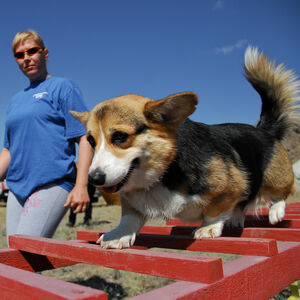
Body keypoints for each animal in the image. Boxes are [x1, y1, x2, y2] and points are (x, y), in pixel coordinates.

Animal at [70, 47, 298, 248]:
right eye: (91, 141)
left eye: (120, 136)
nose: (93, 179)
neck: (164, 170)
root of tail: (263, 129)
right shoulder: (130, 200)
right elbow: (129, 217)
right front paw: (118, 235)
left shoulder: (233, 185)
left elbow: (215, 211)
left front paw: (208, 228)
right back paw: (236, 218)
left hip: (274, 178)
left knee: (280, 193)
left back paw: (275, 211)